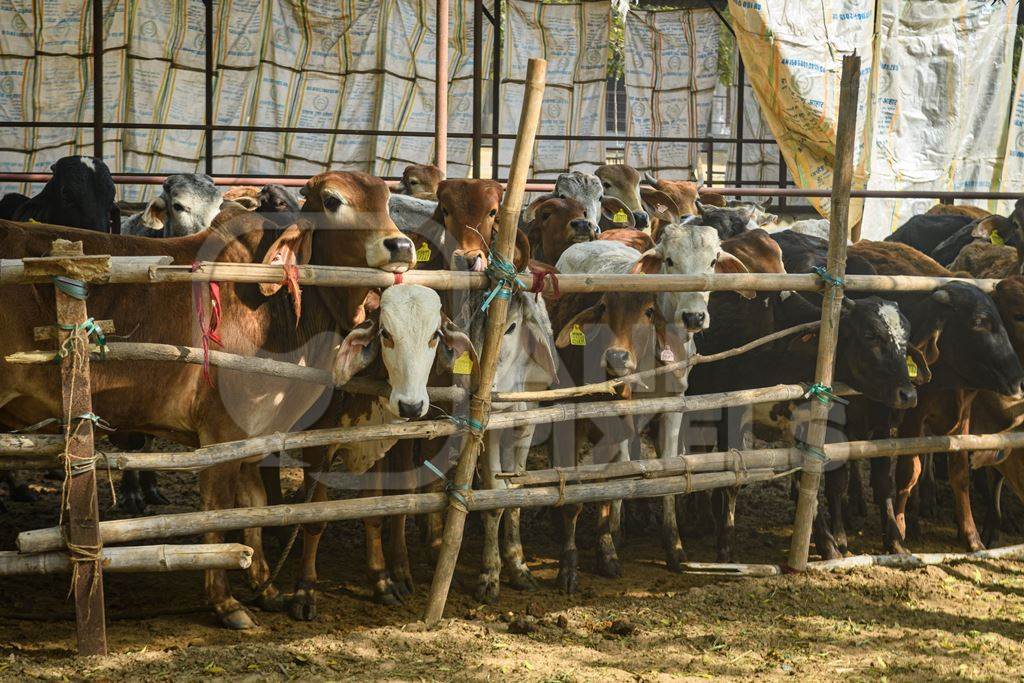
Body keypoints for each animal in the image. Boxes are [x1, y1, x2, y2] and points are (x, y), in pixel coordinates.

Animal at [1, 171, 415, 630]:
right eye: (331, 200)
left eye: (386, 198)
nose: (400, 246)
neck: (275, 308)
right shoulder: (221, 434)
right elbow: (217, 513)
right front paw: (226, 602)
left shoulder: (254, 434)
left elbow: (254, 506)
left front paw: (266, 588)